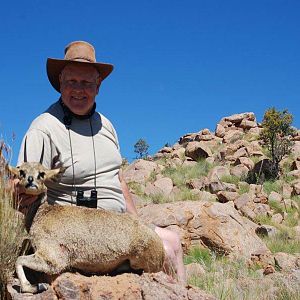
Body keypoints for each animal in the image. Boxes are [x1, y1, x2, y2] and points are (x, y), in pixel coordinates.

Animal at [10, 163, 164, 294]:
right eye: (21, 171)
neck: (41, 213)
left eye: (41, 173)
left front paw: (33, 287)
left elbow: (19, 260)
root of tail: (161, 247)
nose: (30, 180)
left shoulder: (54, 260)